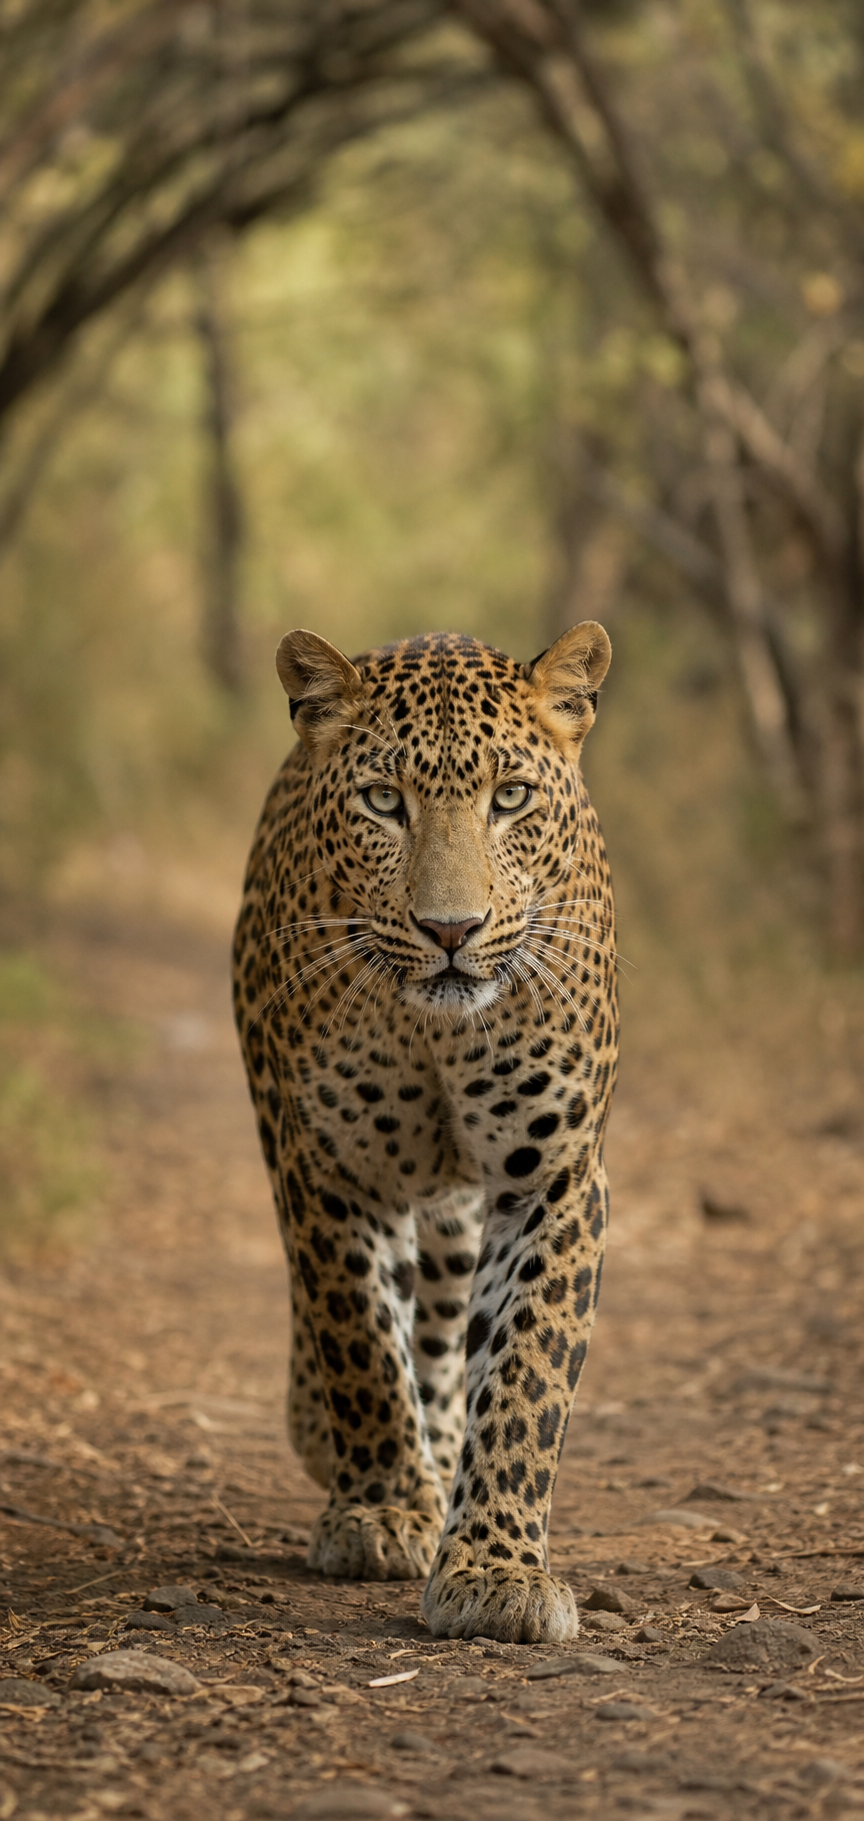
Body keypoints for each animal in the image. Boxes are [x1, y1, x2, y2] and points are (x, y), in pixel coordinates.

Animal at [232, 620, 618, 1644]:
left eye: (510, 797)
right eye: (383, 800)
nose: (452, 929)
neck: (436, 1029)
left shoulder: (554, 1175)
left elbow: (526, 1370)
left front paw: (496, 1568)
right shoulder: (327, 1165)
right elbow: (360, 1337)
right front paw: (380, 1512)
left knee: (444, 1327)